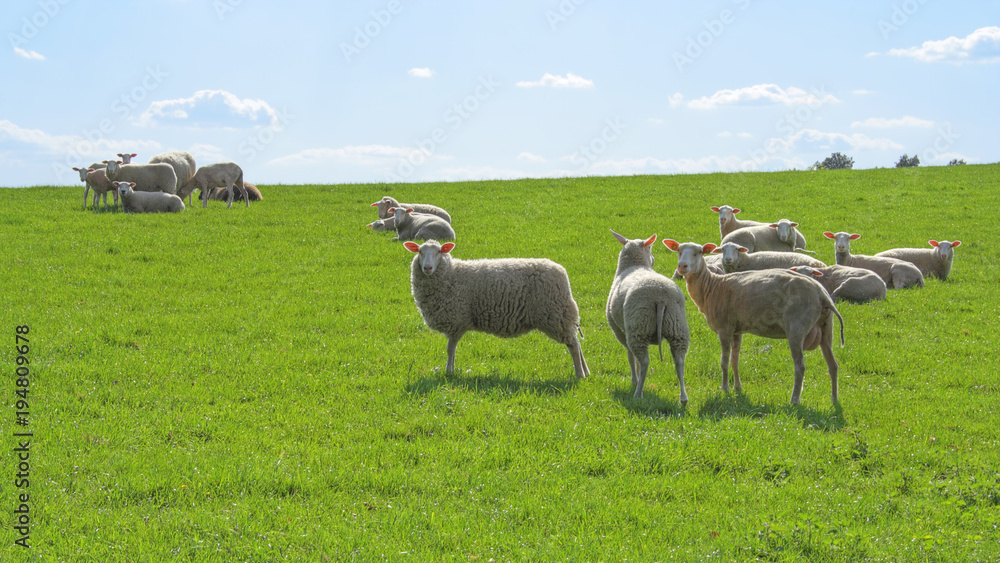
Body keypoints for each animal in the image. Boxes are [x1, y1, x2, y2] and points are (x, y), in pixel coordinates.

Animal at [403, 239, 589, 378]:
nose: (427, 268)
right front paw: (450, 370)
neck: (451, 274)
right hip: (561, 315)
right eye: (420, 252)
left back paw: (579, 375)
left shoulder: (457, 321)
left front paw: (449, 372)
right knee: (576, 342)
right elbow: (451, 350)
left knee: (573, 345)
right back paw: (586, 372)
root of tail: (562, 273)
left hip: (556, 314)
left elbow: (450, 350)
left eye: (439, 251)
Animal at [606, 230, 690, 402]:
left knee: (644, 361)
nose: (654, 260)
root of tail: (660, 296)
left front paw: (634, 380)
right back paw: (683, 398)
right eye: (650, 247)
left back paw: (638, 393)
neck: (634, 266)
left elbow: (631, 357)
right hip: (677, 326)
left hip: (638, 327)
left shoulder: (620, 331)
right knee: (679, 361)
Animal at [665, 239, 845, 405]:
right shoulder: (737, 330)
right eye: (679, 251)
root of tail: (822, 293)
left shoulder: (724, 328)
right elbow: (735, 360)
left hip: (797, 327)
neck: (712, 287)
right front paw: (738, 387)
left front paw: (725, 389)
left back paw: (794, 400)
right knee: (833, 365)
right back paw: (834, 400)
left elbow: (724, 361)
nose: (682, 266)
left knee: (800, 366)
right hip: (826, 327)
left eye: (699, 252)